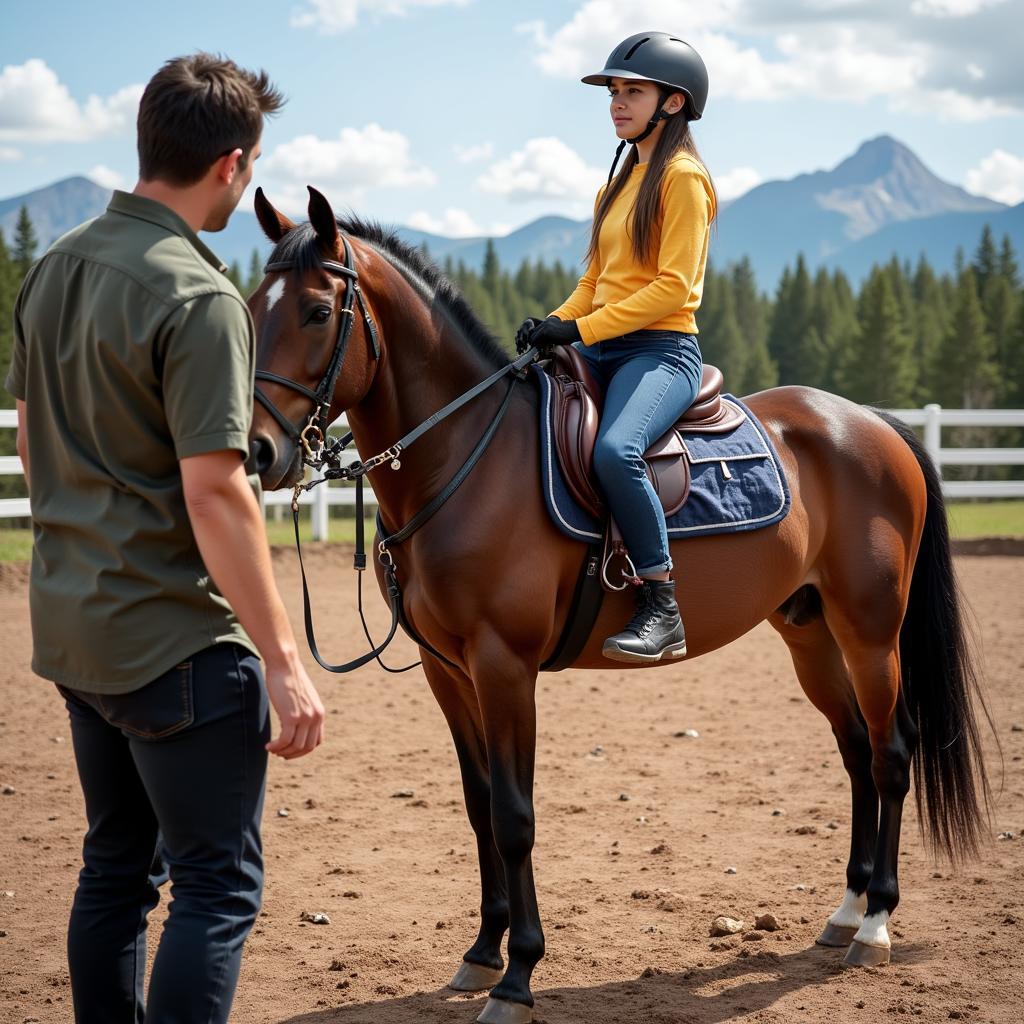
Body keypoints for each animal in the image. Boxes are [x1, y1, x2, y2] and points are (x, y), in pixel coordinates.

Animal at [243, 188, 987, 1019]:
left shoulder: (504, 667)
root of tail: (872, 421)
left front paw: (519, 975)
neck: (469, 455)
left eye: (315, 311)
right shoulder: (447, 670)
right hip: (811, 635)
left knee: (891, 753)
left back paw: (877, 924)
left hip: (870, 631)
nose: (262, 453)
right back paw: (847, 912)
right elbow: (477, 805)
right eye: (254, 309)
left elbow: (514, 816)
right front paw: (481, 952)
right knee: (856, 750)